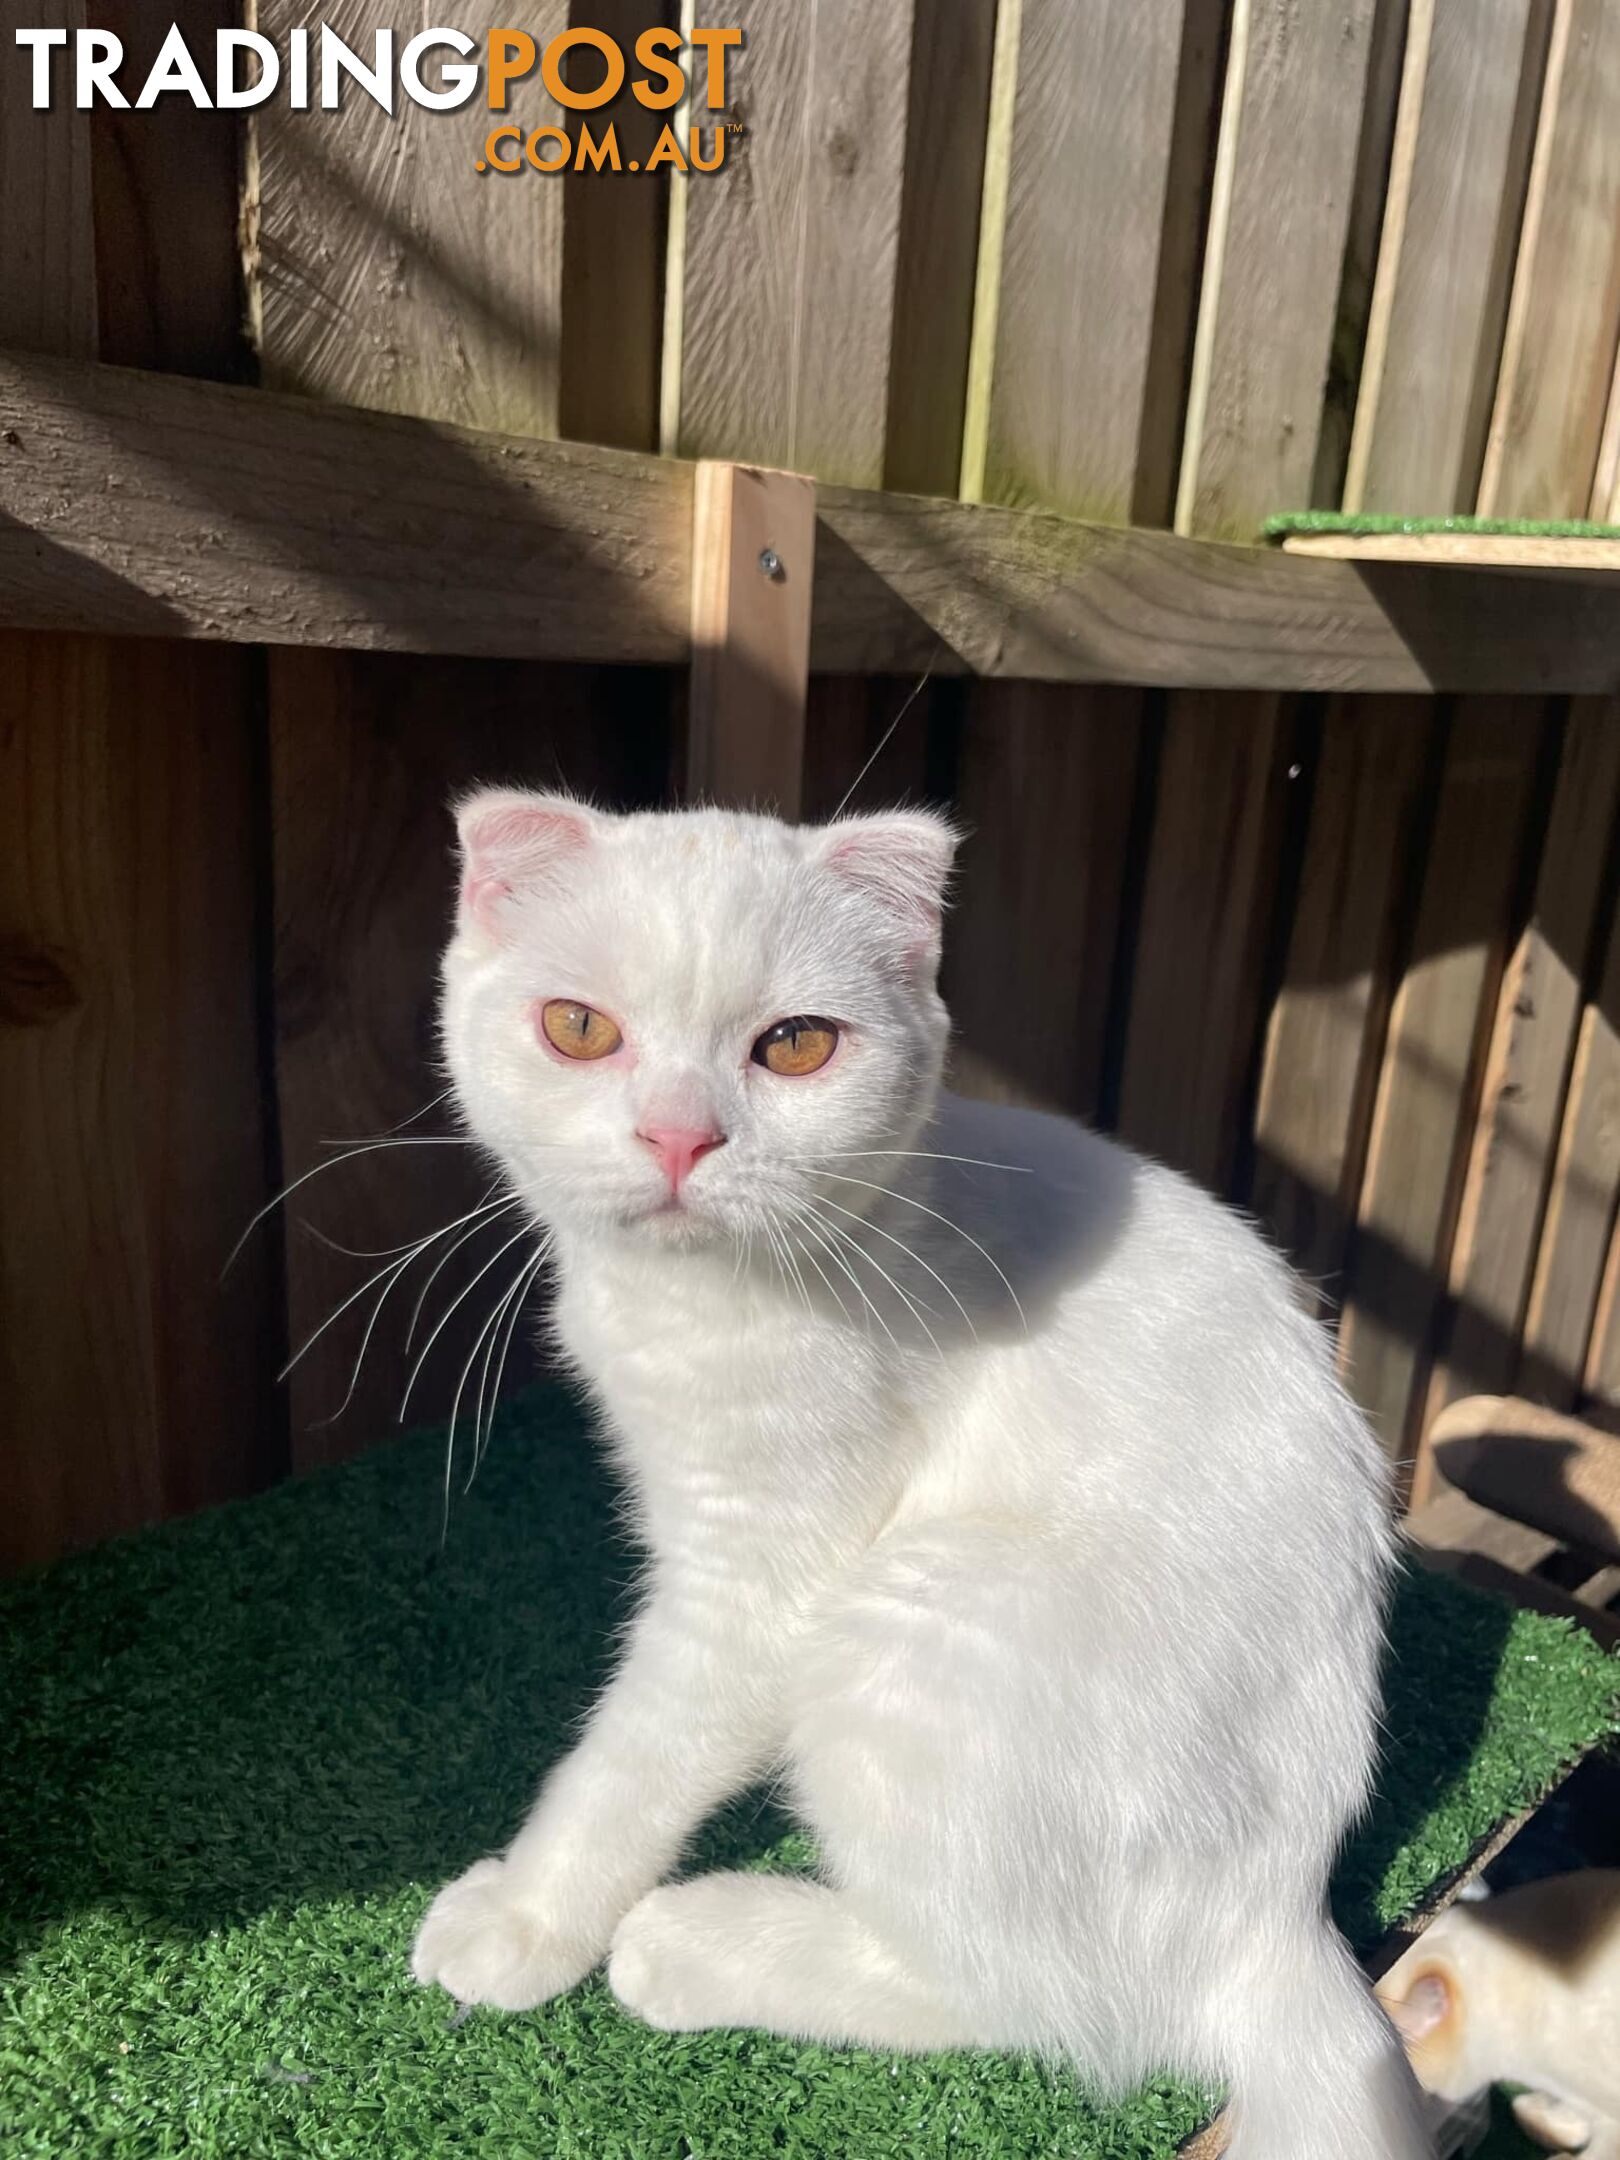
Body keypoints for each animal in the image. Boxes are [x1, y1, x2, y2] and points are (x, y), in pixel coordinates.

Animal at [408, 799, 1434, 2160]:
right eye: (578, 1029)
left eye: (795, 1047)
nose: (679, 1135)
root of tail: (1278, 1921)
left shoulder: (766, 1578)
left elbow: (634, 1754)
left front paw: (525, 1915)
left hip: (910, 1624)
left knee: (1031, 2001)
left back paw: (702, 1940)